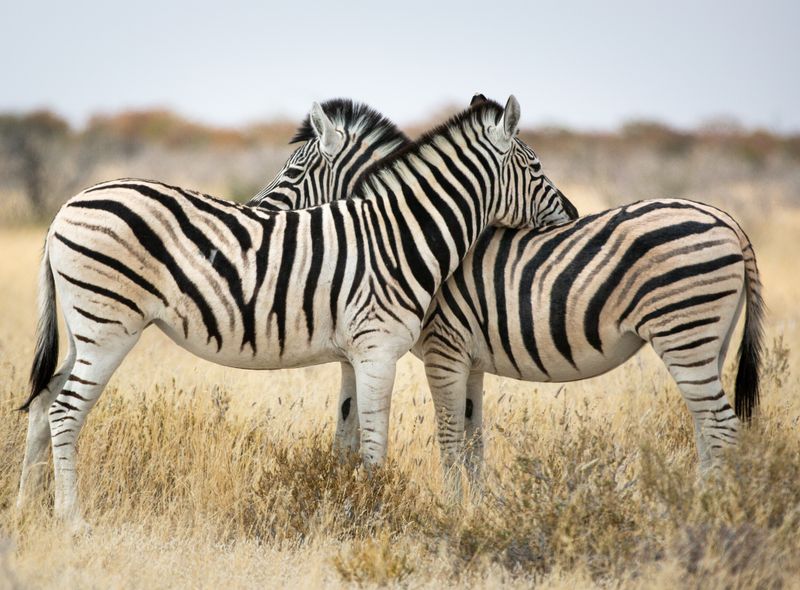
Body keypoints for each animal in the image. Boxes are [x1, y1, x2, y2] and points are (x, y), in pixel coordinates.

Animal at [17, 95, 570, 529]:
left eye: (294, 172)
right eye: (537, 170)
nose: (572, 216)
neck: (397, 234)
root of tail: (67, 206)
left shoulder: (352, 354)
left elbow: (348, 436)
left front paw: (342, 507)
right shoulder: (377, 349)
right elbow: (376, 443)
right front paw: (375, 514)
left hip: (84, 329)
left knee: (44, 401)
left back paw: (26, 508)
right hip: (109, 327)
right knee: (66, 409)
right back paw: (71, 520)